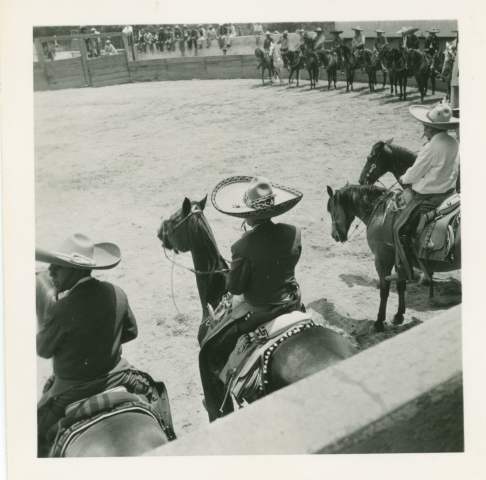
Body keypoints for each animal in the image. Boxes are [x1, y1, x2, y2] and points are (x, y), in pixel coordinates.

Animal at [326, 184, 460, 334]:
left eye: (330, 210)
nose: (334, 235)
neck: (380, 213)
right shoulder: (399, 259)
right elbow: (400, 285)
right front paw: (398, 315)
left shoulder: (382, 259)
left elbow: (384, 290)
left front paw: (378, 322)